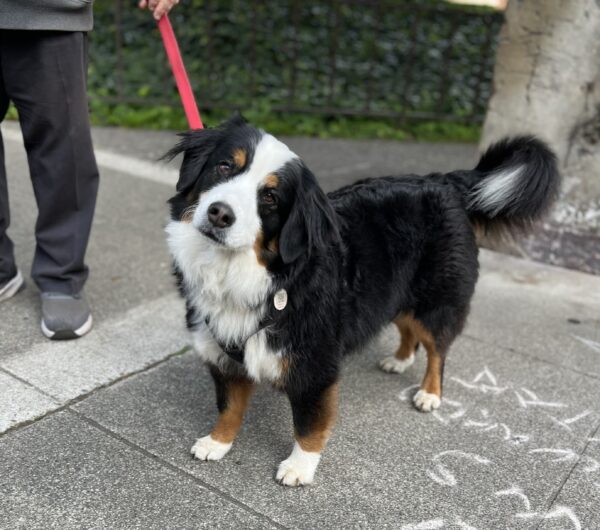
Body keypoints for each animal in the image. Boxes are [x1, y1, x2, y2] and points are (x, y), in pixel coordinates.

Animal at [163, 116, 556, 486]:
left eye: (270, 197)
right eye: (224, 166)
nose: (219, 213)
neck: (251, 276)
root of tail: (444, 182)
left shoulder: (315, 367)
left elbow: (308, 424)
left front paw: (300, 467)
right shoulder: (223, 356)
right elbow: (229, 406)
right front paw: (218, 442)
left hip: (435, 303)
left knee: (437, 349)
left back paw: (429, 393)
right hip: (391, 294)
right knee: (408, 330)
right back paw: (399, 361)